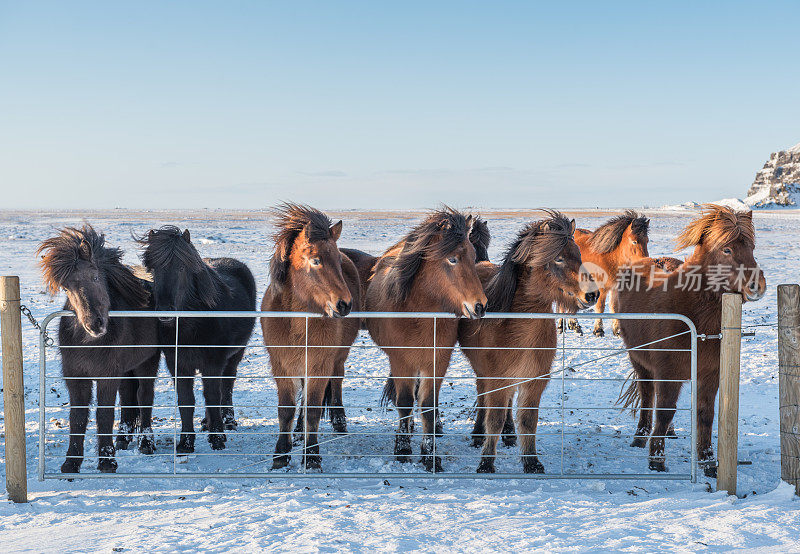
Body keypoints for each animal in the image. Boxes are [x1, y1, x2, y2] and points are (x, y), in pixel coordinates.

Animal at [38, 224, 161, 470]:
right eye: (66, 288)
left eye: (95, 277)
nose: (95, 324)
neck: (89, 344)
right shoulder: (76, 377)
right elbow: (77, 417)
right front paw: (71, 462)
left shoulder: (107, 376)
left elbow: (104, 414)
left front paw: (106, 460)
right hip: (126, 370)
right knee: (128, 397)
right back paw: (123, 439)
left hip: (147, 363)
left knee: (145, 398)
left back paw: (145, 443)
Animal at [138, 226, 256, 450]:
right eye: (154, 269)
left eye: (182, 268)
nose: (165, 311)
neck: (190, 328)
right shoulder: (178, 364)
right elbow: (186, 400)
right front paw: (186, 442)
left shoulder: (213, 362)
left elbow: (213, 396)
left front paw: (217, 437)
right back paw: (205, 423)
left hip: (235, 355)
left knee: (227, 385)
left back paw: (228, 421)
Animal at [260, 201, 360, 468]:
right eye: (316, 260)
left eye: (337, 260)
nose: (344, 304)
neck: (297, 323)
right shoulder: (282, 365)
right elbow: (286, 409)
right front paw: (281, 455)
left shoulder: (320, 364)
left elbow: (313, 410)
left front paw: (312, 456)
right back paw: (297, 433)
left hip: (337, 358)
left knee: (336, 382)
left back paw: (338, 422)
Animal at [364, 207, 488, 470]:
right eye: (452, 259)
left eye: (473, 257)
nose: (480, 306)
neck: (418, 314)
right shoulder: (401, 360)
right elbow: (404, 402)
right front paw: (402, 448)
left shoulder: (437, 360)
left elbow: (429, 404)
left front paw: (429, 454)